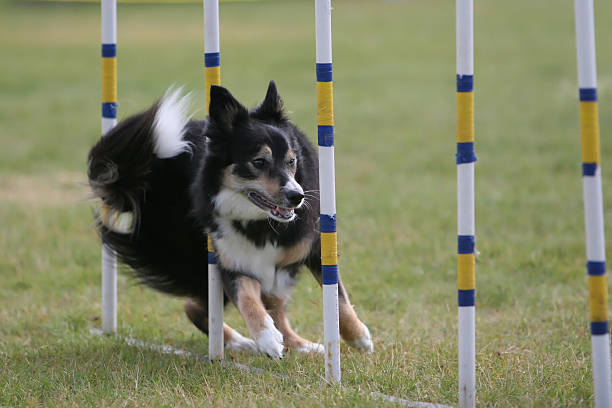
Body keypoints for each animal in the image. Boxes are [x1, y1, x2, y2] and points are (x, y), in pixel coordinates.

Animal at [87, 80, 372, 356]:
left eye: (292, 161)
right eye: (259, 162)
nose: (297, 196)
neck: (259, 223)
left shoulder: (313, 248)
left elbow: (338, 297)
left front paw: (359, 337)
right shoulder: (233, 260)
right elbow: (247, 300)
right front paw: (266, 338)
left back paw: (300, 345)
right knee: (194, 307)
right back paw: (242, 342)